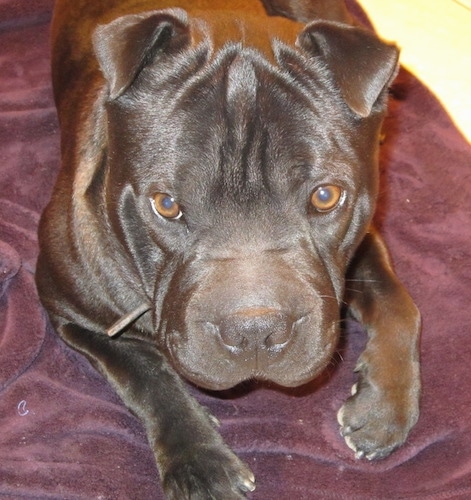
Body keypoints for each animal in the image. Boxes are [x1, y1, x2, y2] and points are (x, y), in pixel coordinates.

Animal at [36, 0, 420, 496]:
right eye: (166, 204)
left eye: (325, 196)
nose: (255, 330)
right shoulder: (75, 316)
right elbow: (148, 376)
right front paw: (200, 464)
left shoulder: (365, 236)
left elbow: (400, 304)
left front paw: (383, 407)